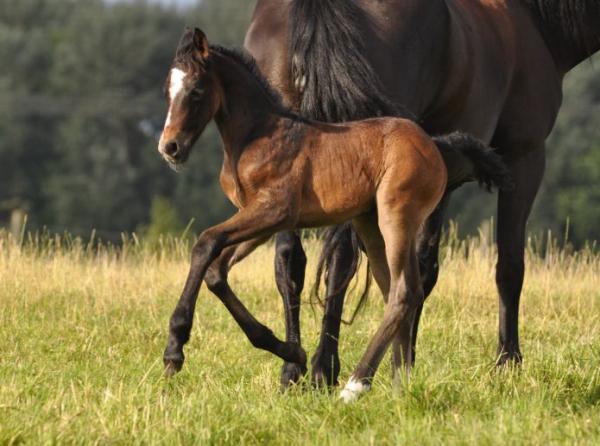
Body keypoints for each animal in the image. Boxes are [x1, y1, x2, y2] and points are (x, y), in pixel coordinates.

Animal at [157, 29, 508, 402]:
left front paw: (174, 350)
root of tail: (434, 144)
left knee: (404, 292)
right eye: (167, 90)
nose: (170, 148)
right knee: (396, 291)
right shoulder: (262, 220)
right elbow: (216, 272)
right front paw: (290, 351)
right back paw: (400, 386)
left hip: (396, 217)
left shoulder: (274, 209)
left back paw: (356, 385)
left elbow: (205, 243)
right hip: (369, 223)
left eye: (196, 90)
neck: (257, 135)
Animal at [244, 0, 600, 386]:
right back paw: (325, 368)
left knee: (290, 258)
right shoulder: (523, 158)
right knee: (341, 259)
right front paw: (506, 363)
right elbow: (500, 266)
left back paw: (293, 369)